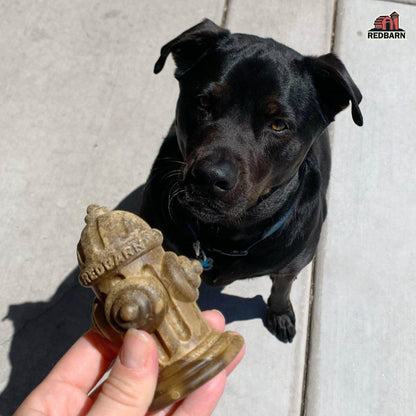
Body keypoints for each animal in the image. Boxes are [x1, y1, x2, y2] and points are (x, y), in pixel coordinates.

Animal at [140, 19, 360, 342]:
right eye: (203, 101)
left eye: (278, 124)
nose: (209, 177)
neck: (224, 237)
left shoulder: (291, 265)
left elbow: (282, 288)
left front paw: (280, 314)